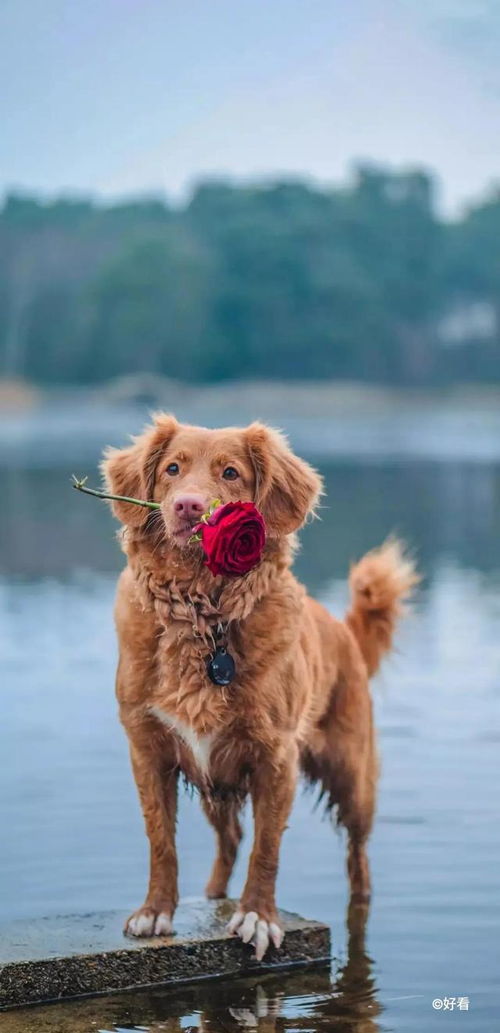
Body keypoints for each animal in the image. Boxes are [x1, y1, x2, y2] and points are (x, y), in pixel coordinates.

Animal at [102, 411, 417, 958]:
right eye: (171, 469)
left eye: (230, 473)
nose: (188, 505)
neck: (202, 617)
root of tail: (343, 631)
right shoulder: (149, 750)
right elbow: (161, 839)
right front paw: (155, 911)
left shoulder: (276, 757)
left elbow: (267, 847)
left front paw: (258, 917)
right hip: (215, 780)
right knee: (229, 840)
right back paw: (211, 895)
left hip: (352, 777)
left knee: (358, 857)